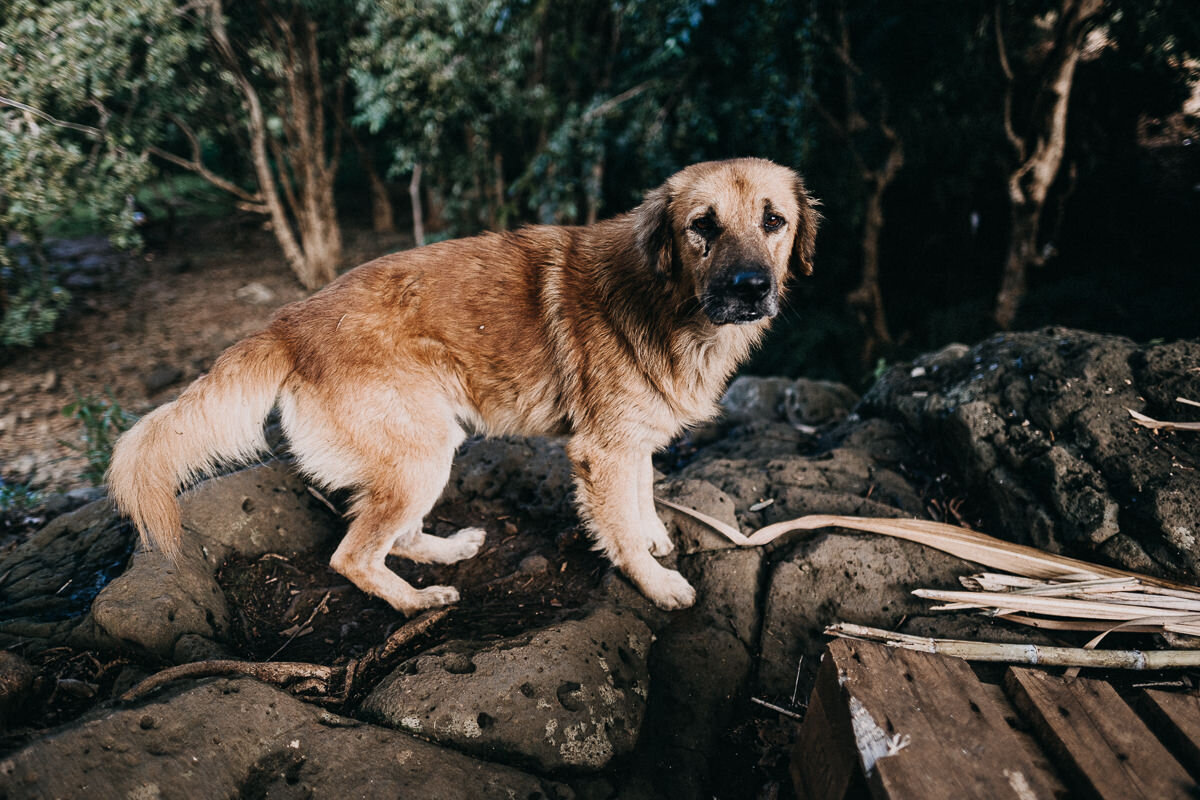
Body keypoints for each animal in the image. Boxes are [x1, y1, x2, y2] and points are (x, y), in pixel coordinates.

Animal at [108, 159, 820, 618]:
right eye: (702, 225)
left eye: (773, 221)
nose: (751, 288)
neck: (665, 297)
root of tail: (286, 324)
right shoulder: (603, 451)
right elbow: (618, 527)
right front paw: (656, 581)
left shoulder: (631, 444)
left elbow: (641, 499)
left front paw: (652, 539)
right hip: (421, 454)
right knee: (354, 555)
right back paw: (418, 602)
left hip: (423, 452)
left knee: (390, 534)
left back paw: (447, 551)